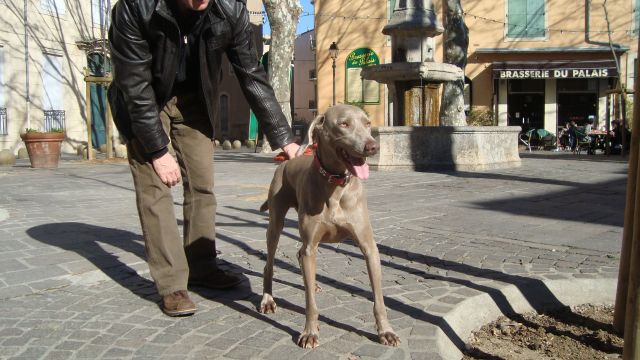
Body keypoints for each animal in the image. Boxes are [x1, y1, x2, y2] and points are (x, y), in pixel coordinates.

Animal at [256, 104, 398, 348]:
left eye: (368, 123)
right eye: (344, 124)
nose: (372, 146)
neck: (336, 183)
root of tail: (287, 160)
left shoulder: (369, 247)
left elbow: (379, 299)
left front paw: (385, 331)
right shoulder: (311, 246)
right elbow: (310, 303)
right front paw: (310, 332)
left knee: (299, 254)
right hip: (276, 223)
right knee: (271, 263)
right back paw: (268, 300)